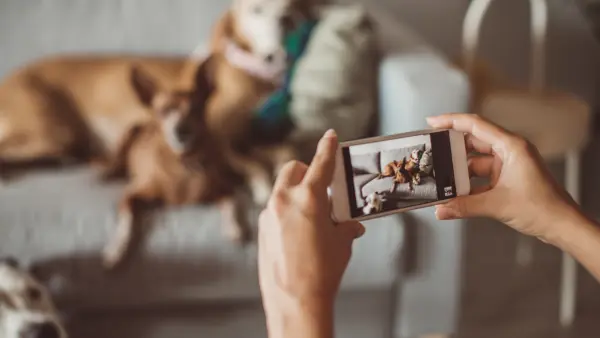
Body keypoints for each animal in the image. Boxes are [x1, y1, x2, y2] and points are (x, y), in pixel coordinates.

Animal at [100, 58, 248, 270]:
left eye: (196, 109)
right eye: (163, 111)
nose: (181, 130)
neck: (183, 161)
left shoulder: (223, 190)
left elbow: (232, 203)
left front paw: (235, 228)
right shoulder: (130, 195)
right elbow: (126, 221)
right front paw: (117, 249)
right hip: (130, 131)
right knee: (115, 161)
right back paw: (108, 172)